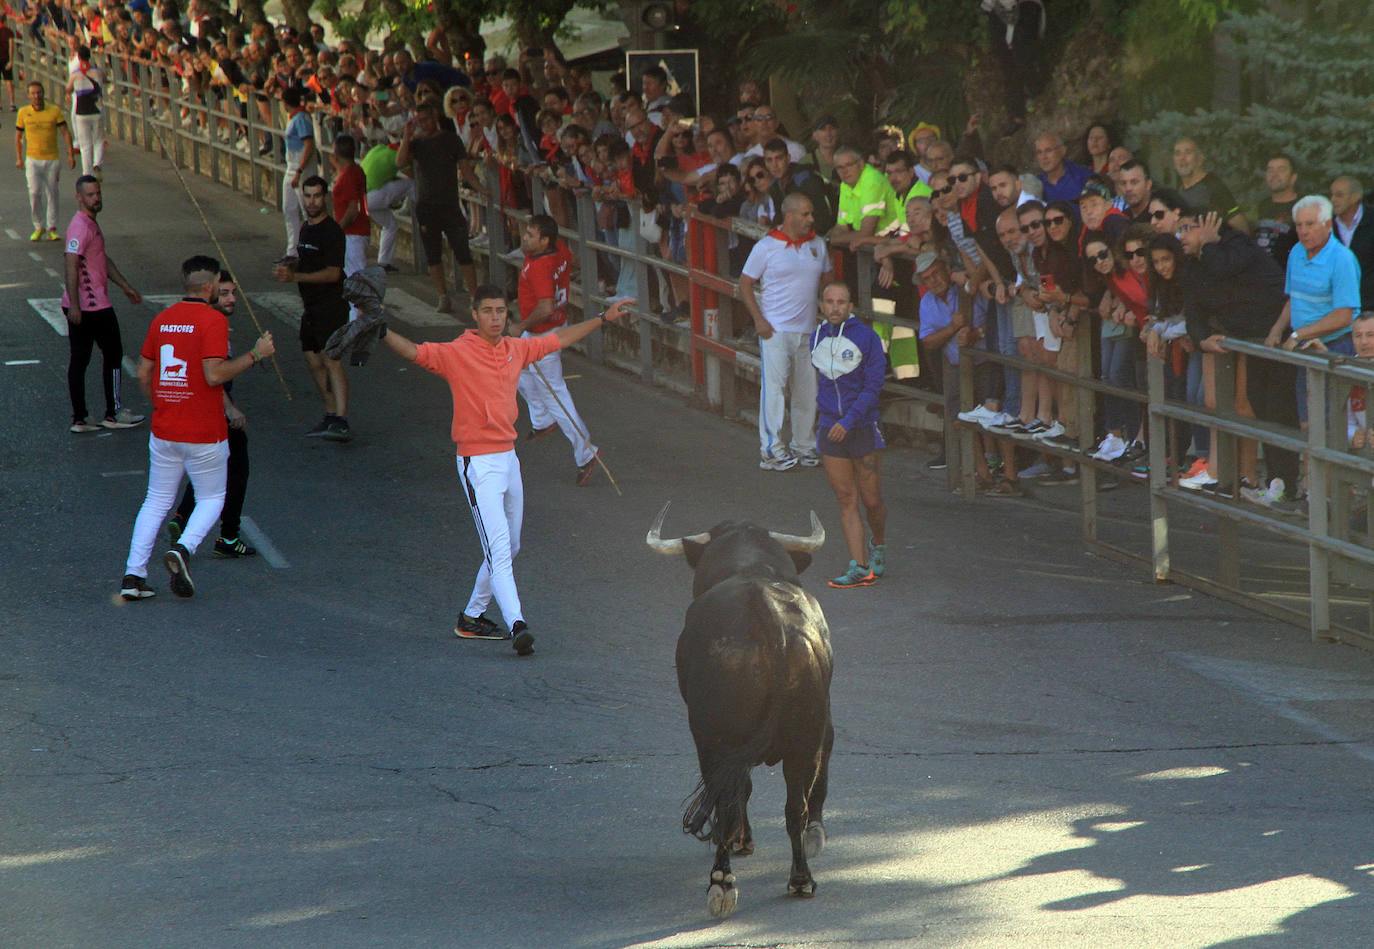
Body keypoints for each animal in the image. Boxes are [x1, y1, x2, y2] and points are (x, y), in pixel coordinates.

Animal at [645, 499, 829, 917]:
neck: (750, 567)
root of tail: (769, 619)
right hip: (805, 738)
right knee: (795, 806)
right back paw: (800, 880)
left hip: (714, 738)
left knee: (727, 800)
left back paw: (722, 882)